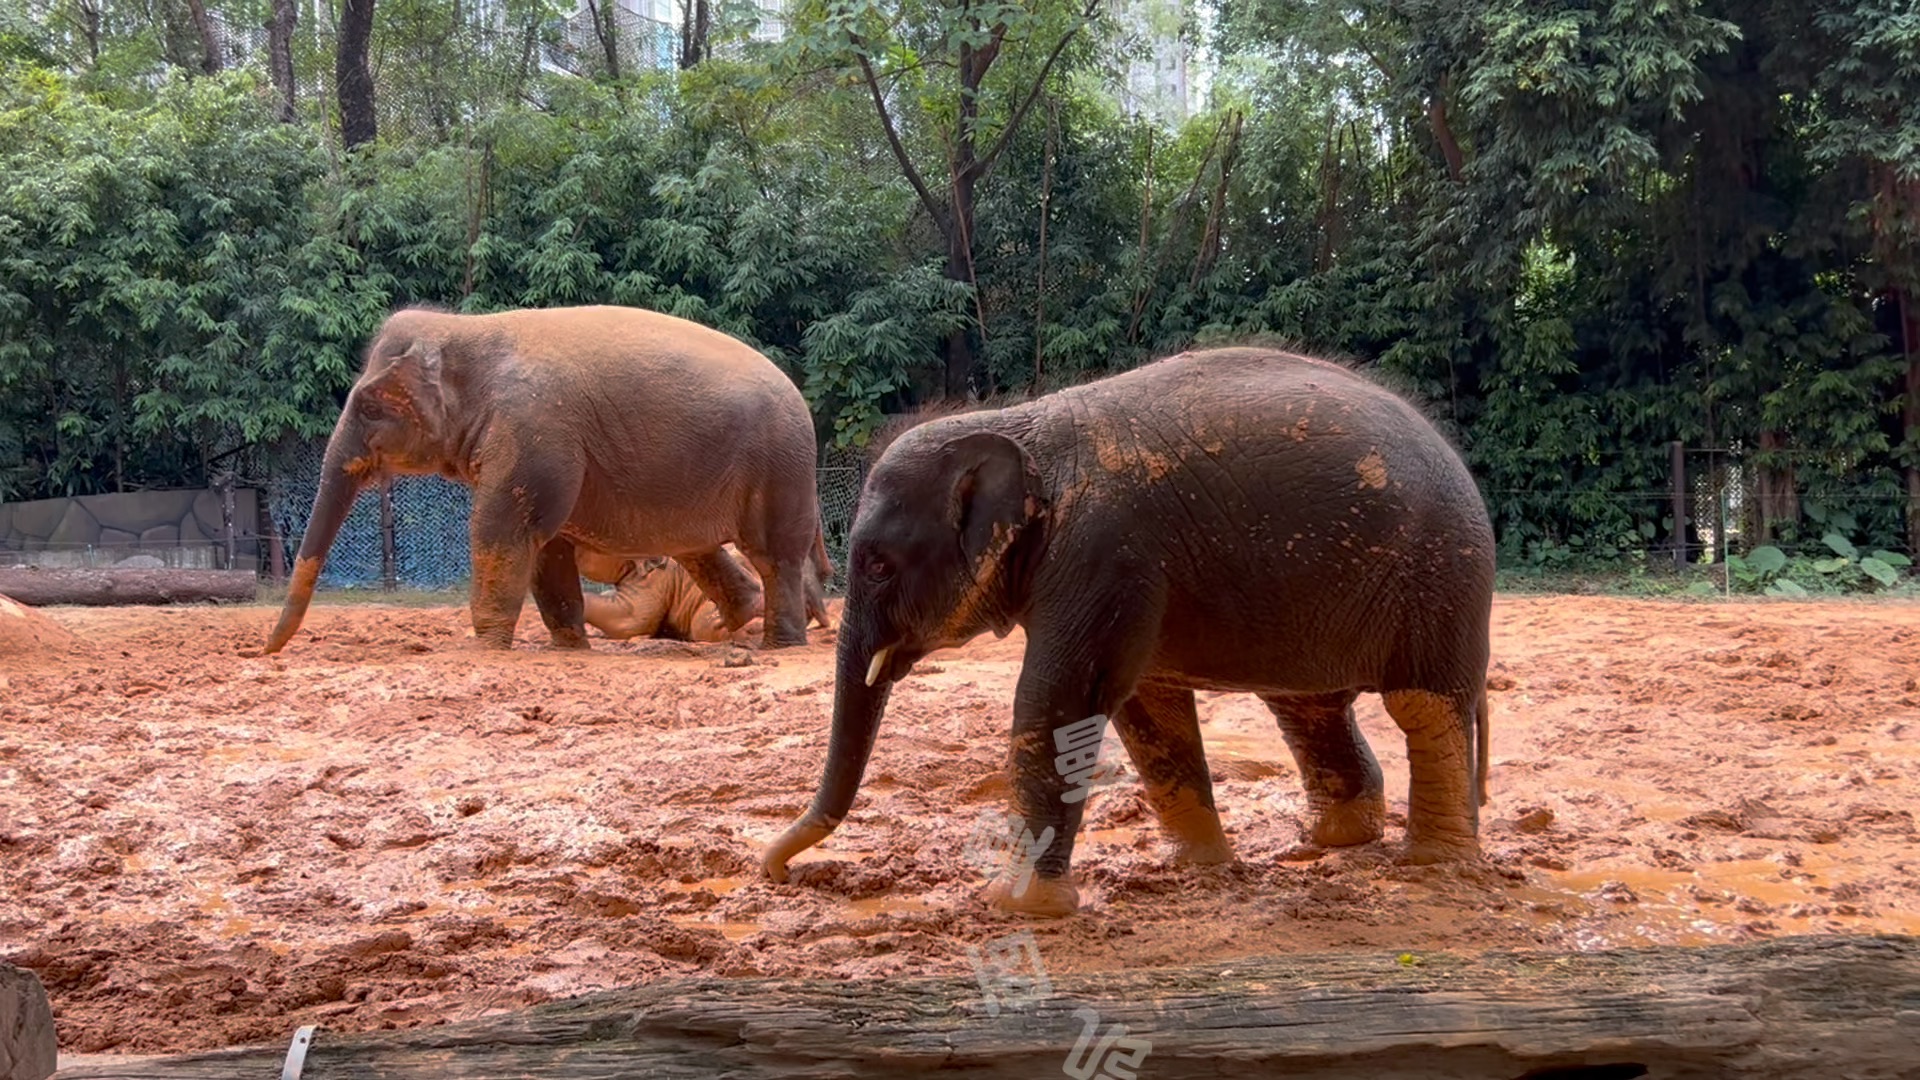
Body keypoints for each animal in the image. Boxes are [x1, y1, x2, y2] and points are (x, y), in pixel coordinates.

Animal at [764, 345, 1497, 914]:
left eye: (877, 564)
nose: (776, 872)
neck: (1016, 423)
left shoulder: (1104, 554)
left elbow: (1057, 702)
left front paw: (1017, 907)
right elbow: (1148, 712)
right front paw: (1196, 871)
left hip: (1443, 578)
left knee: (1422, 706)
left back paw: (1432, 867)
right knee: (1308, 708)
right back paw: (1325, 845)